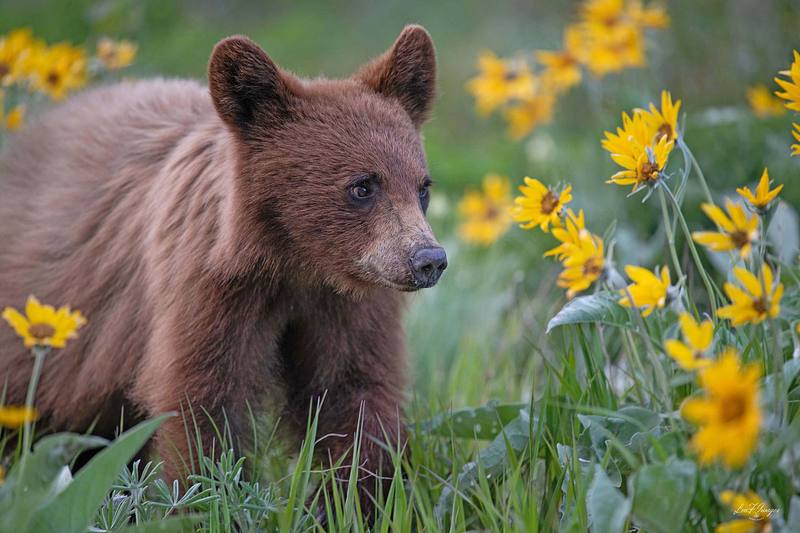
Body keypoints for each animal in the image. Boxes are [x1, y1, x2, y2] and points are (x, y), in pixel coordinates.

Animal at [0, 24, 445, 516]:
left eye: (422, 187)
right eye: (362, 186)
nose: (428, 259)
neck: (296, 263)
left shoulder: (348, 300)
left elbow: (353, 390)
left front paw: (356, 502)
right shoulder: (209, 288)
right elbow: (205, 402)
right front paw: (208, 502)